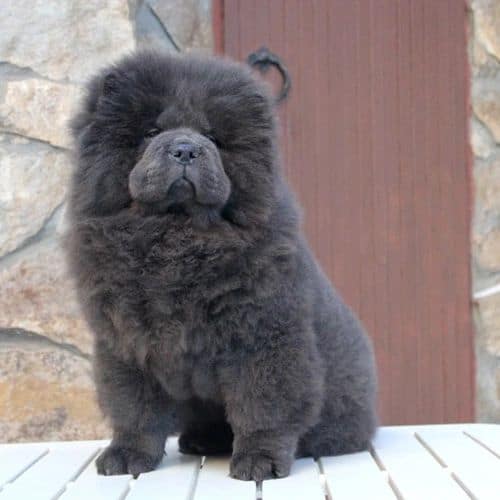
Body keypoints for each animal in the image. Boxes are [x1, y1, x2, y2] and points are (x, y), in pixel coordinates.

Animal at [68, 50, 376, 480]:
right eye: (151, 131)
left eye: (213, 138)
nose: (185, 148)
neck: (177, 240)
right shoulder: (125, 343)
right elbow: (134, 409)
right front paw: (126, 456)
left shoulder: (262, 338)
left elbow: (264, 406)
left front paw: (259, 462)